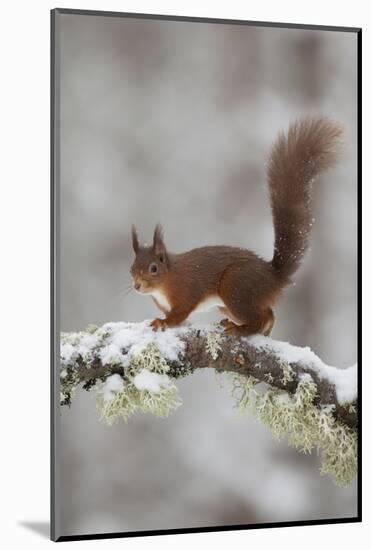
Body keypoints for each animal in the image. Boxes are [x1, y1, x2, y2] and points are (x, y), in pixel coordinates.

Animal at [130, 117, 342, 336]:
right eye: (132, 268)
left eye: (153, 268)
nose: (137, 286)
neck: (167, 279)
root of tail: (272, 277)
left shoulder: (186, 292)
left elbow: (179, 314)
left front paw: (162, 322)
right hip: (229, 303)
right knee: (268, 313)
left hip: (235, 287)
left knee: (260, 317)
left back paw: (241, 329)